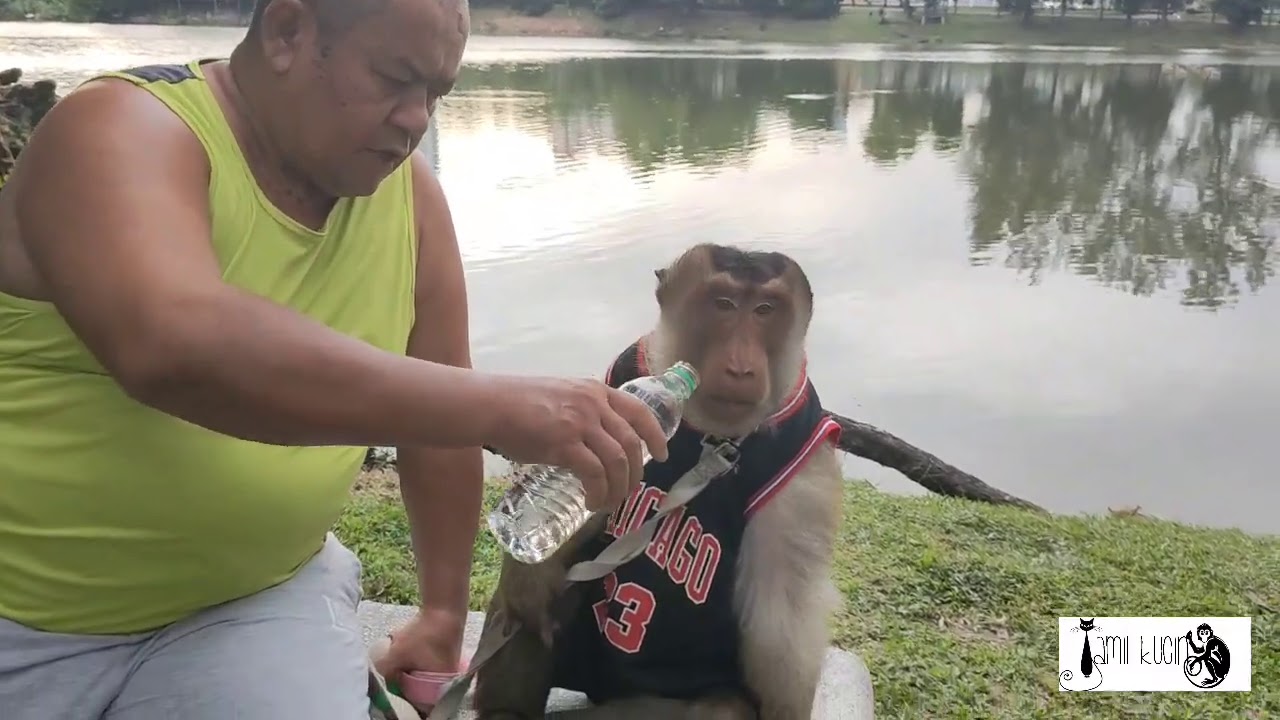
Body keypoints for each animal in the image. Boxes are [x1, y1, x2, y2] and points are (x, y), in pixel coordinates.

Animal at [470, 243, 846, 720]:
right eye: (724, 304)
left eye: (765, 310)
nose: (741, 368)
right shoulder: (616, 388)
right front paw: (528, 573)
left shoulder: (806, 471)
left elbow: (779, 623)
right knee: (527, 611)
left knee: (719, 709)